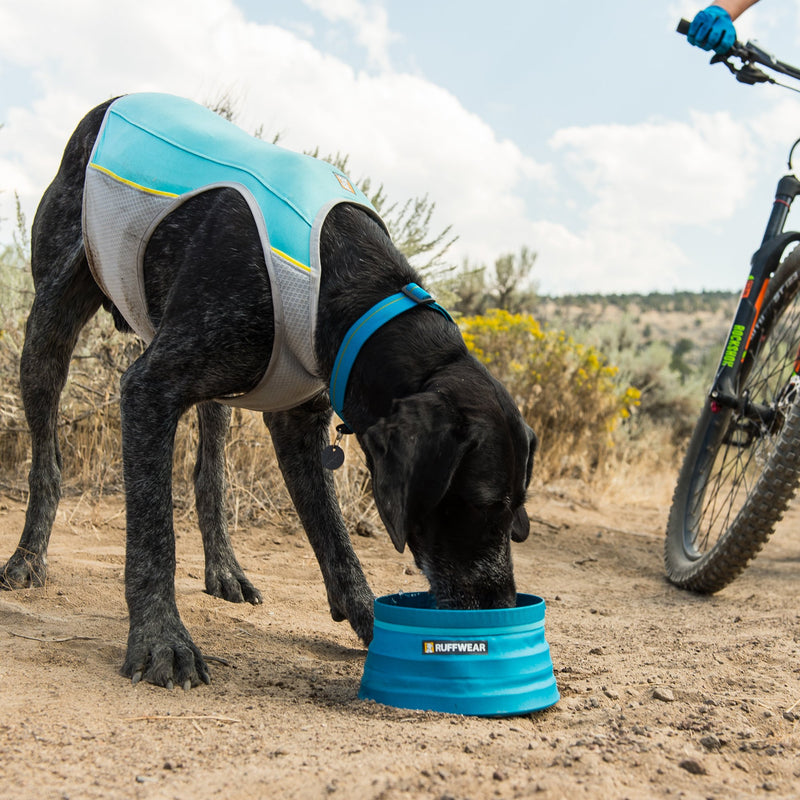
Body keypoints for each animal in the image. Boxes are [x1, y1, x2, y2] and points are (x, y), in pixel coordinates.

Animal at [3, 97, 536, 692]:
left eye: (518, 510)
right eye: (481, 505)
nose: (502, 605)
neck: (351, 284)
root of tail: (112, 102)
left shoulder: (297, 421)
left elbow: (334, 538)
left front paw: (371, 621)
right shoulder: (147, 389)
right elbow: (153, 535)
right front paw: (161, 638)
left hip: (215, 386)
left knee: (208, 476)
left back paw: (224, 569)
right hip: (50, 324)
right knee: (46, 462)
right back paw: (27, 558)